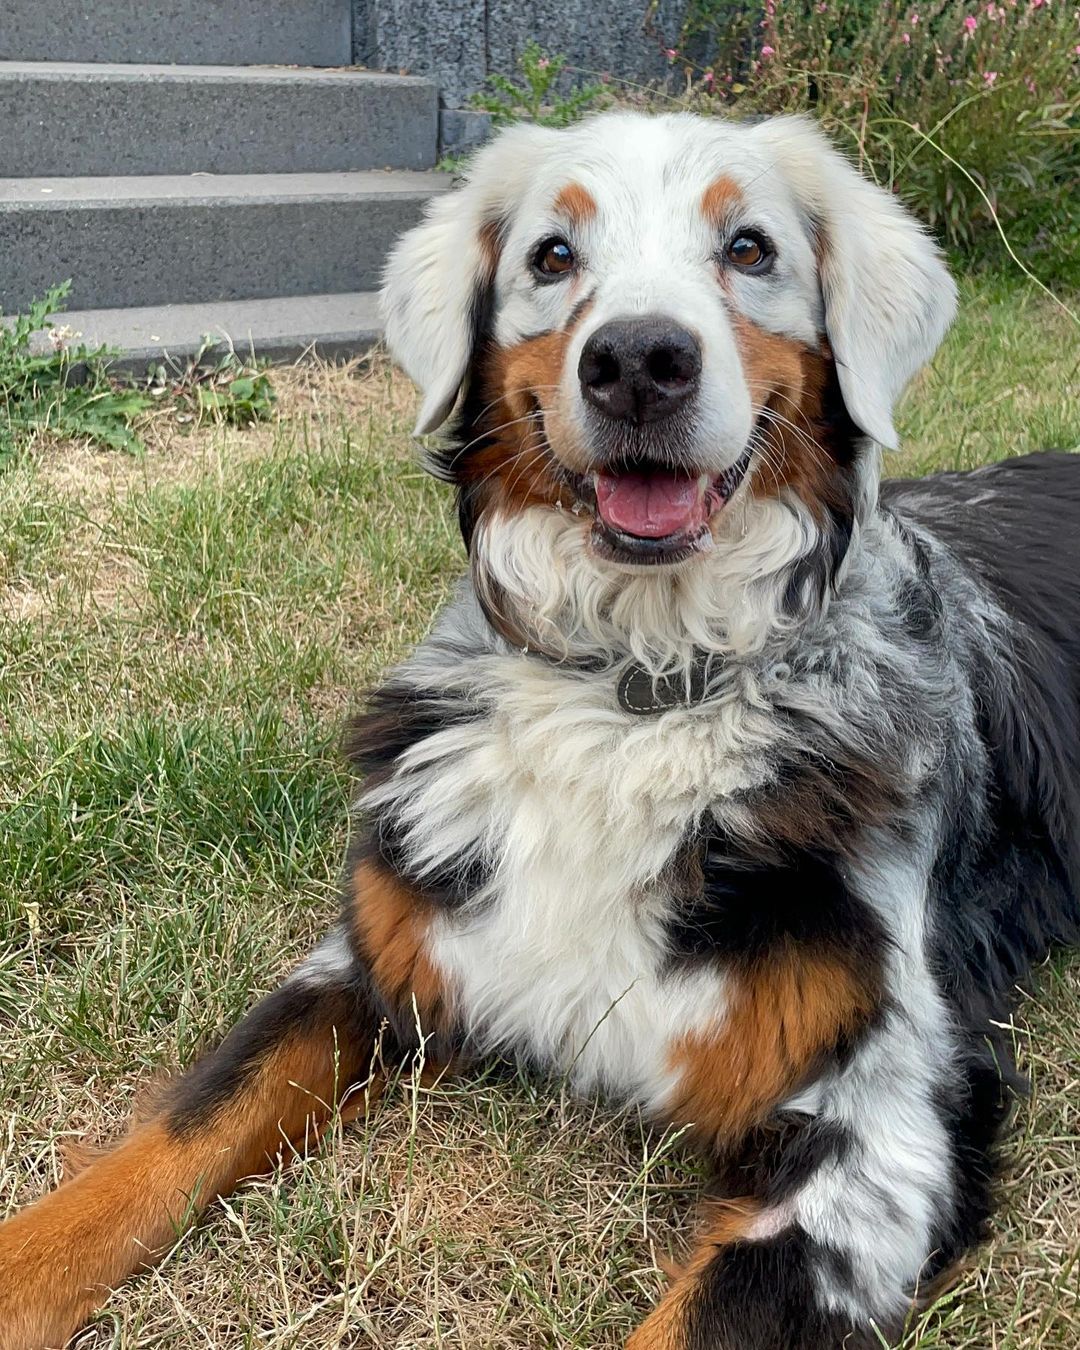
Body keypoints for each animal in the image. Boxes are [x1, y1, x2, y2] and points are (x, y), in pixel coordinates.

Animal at [2, 116, 1080, 1350]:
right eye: (553, 256)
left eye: (749, 248)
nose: (639, 361)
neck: (636, 689)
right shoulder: (367, 957)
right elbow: (180, 1130)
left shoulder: (882, 1124)